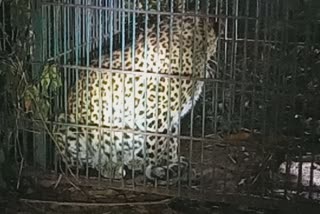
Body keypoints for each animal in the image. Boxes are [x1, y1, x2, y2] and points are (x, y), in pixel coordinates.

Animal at [53, 12, 219, 184]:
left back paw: (134, 162)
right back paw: (111, 167)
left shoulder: (171, 118)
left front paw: (172, 161)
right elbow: (159, 145)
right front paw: (159, 167)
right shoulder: (156, 115)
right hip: (68, 125)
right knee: (89, 162)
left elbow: (172, 141)